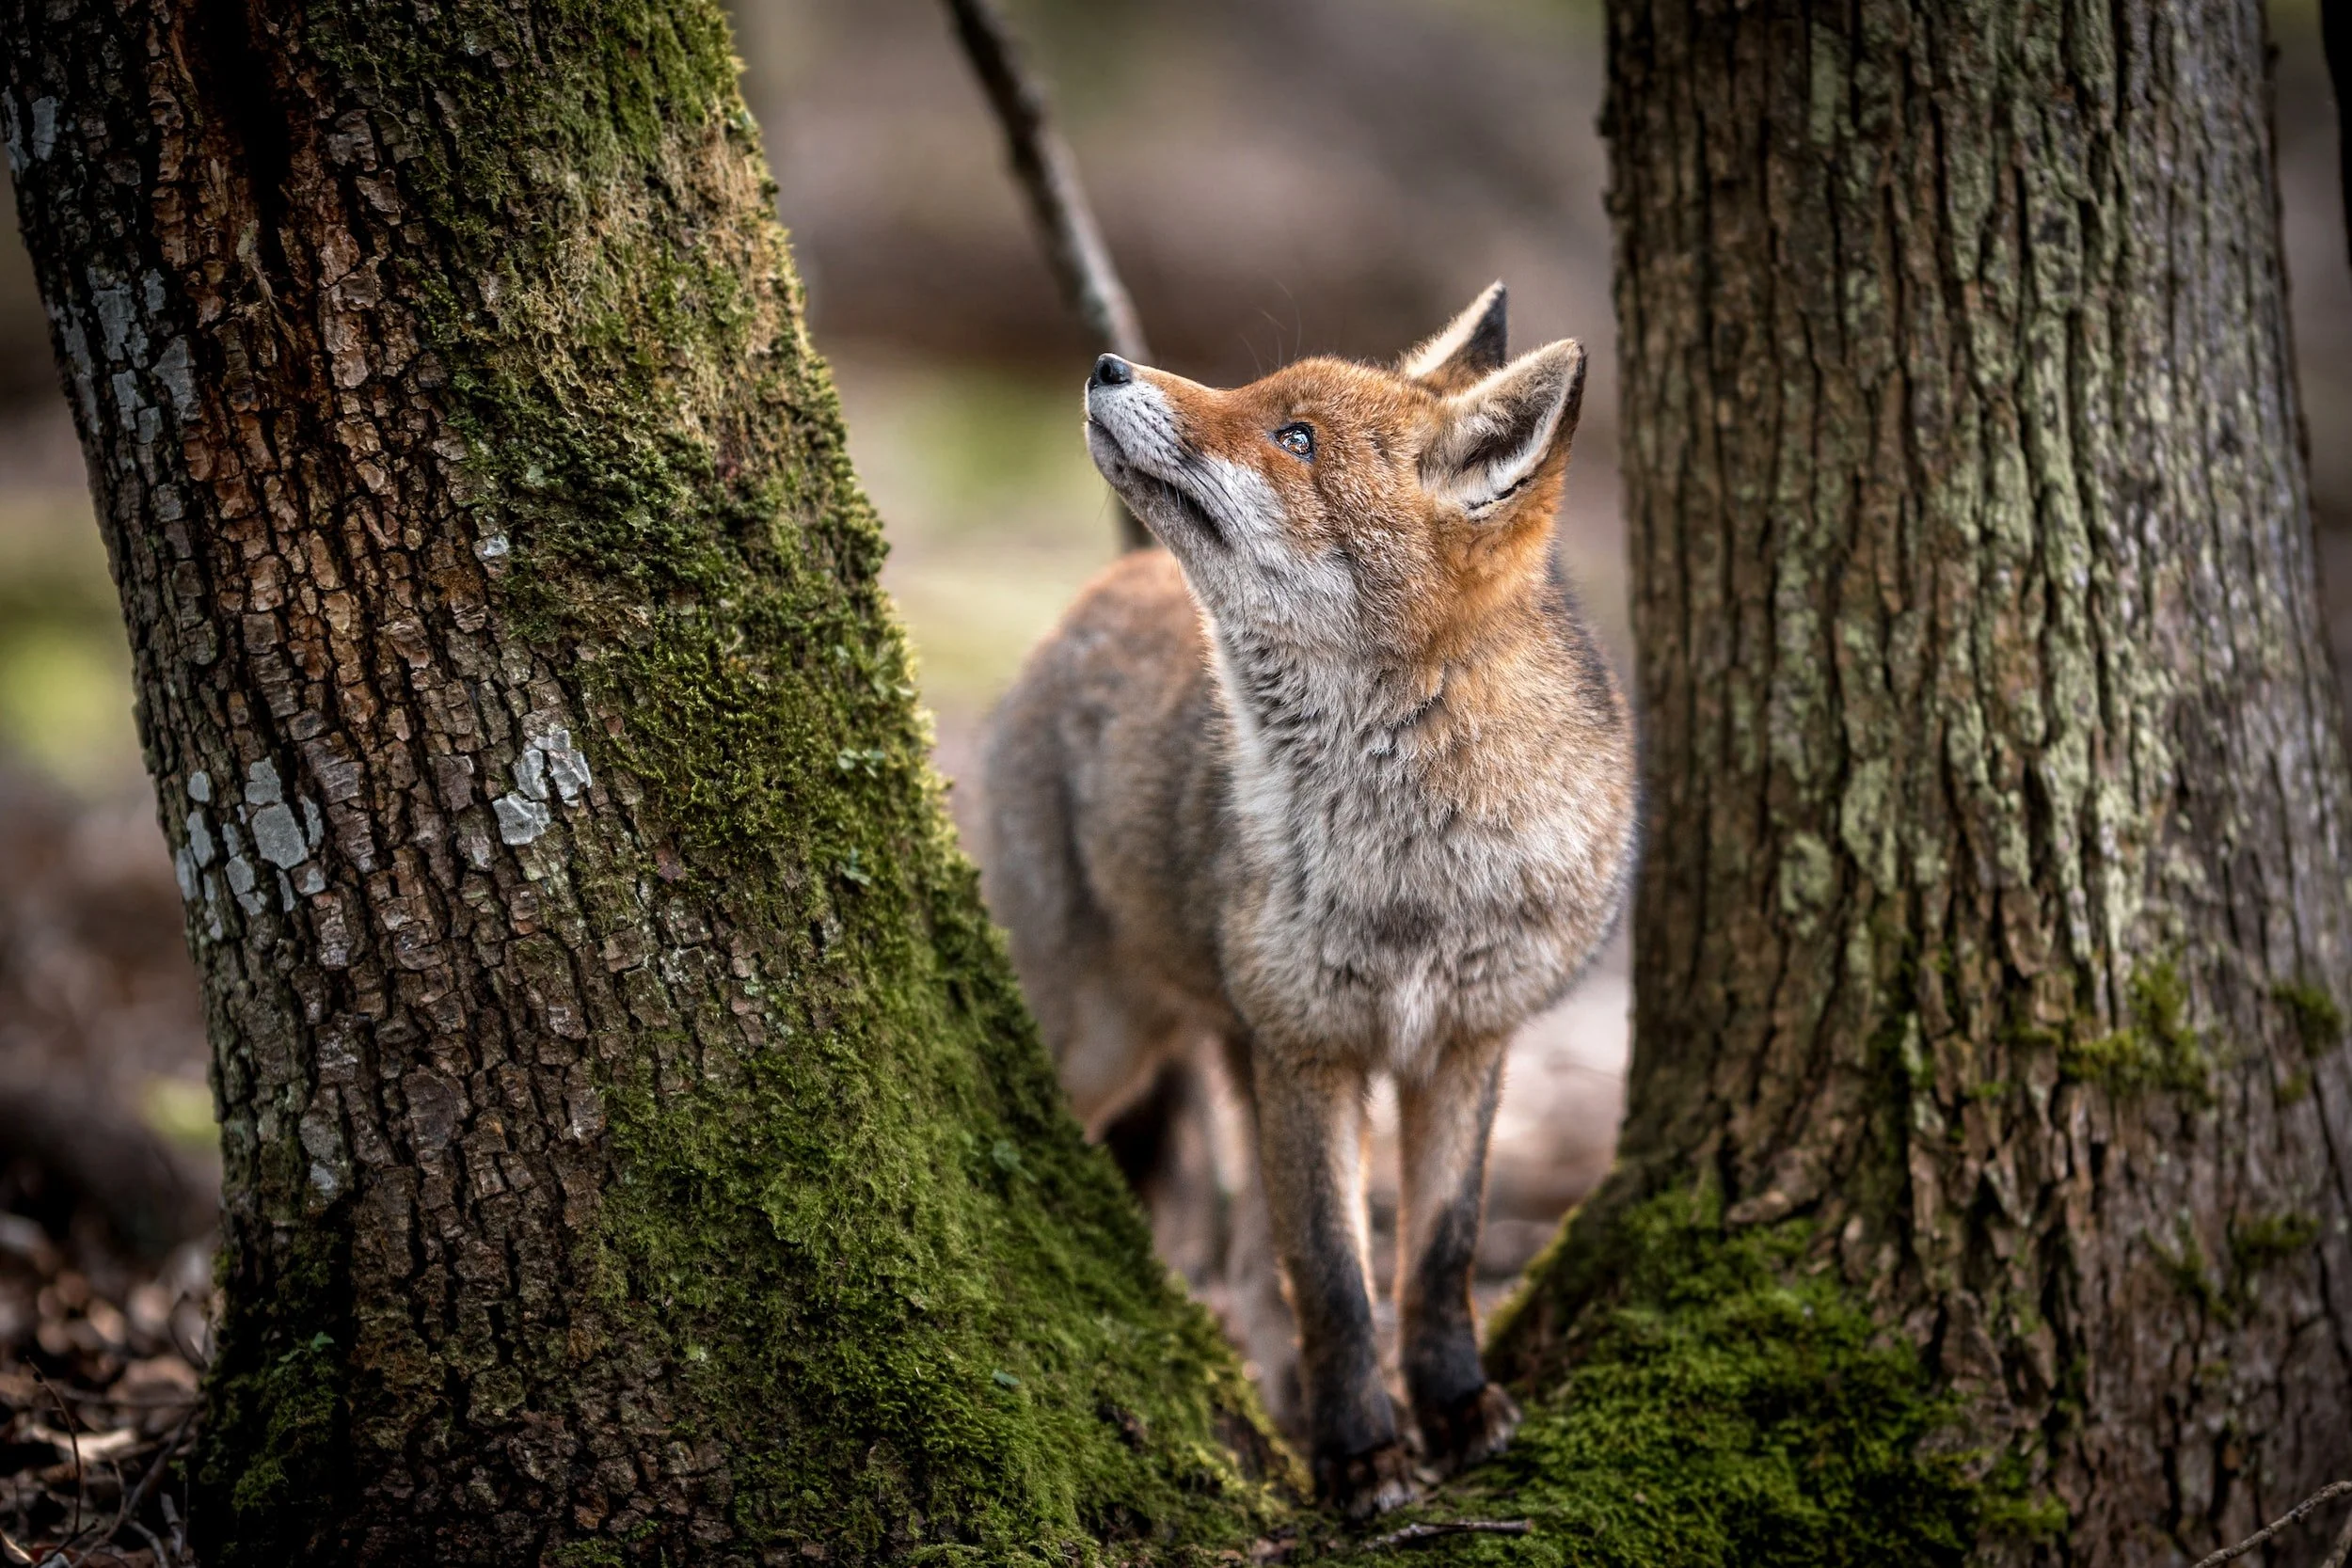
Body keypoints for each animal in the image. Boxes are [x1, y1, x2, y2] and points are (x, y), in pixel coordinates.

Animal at [979, 283, 1638, 1517]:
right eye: (1258, 398)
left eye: (1295, 439)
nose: (1105, 365)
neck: (1412, 869)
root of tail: (1095, 589)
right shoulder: (1307, 1050)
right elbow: (1332, 1275)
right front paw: (1359, 1452)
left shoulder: (1468, 1042)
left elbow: (1435, 1254)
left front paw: (1452, 1405)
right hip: (1101, 1042)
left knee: (1248, 1270)